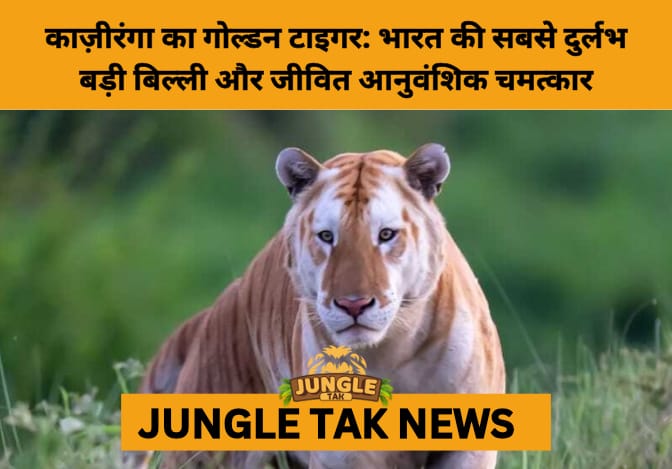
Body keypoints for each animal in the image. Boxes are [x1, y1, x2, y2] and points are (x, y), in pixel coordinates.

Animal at [136, 143, 506, 469]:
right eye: (327, 236)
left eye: (386, 234)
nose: (354, 304)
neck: (392, 350)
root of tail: (215, 310)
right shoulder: (342, 451)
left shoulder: (468, 447)